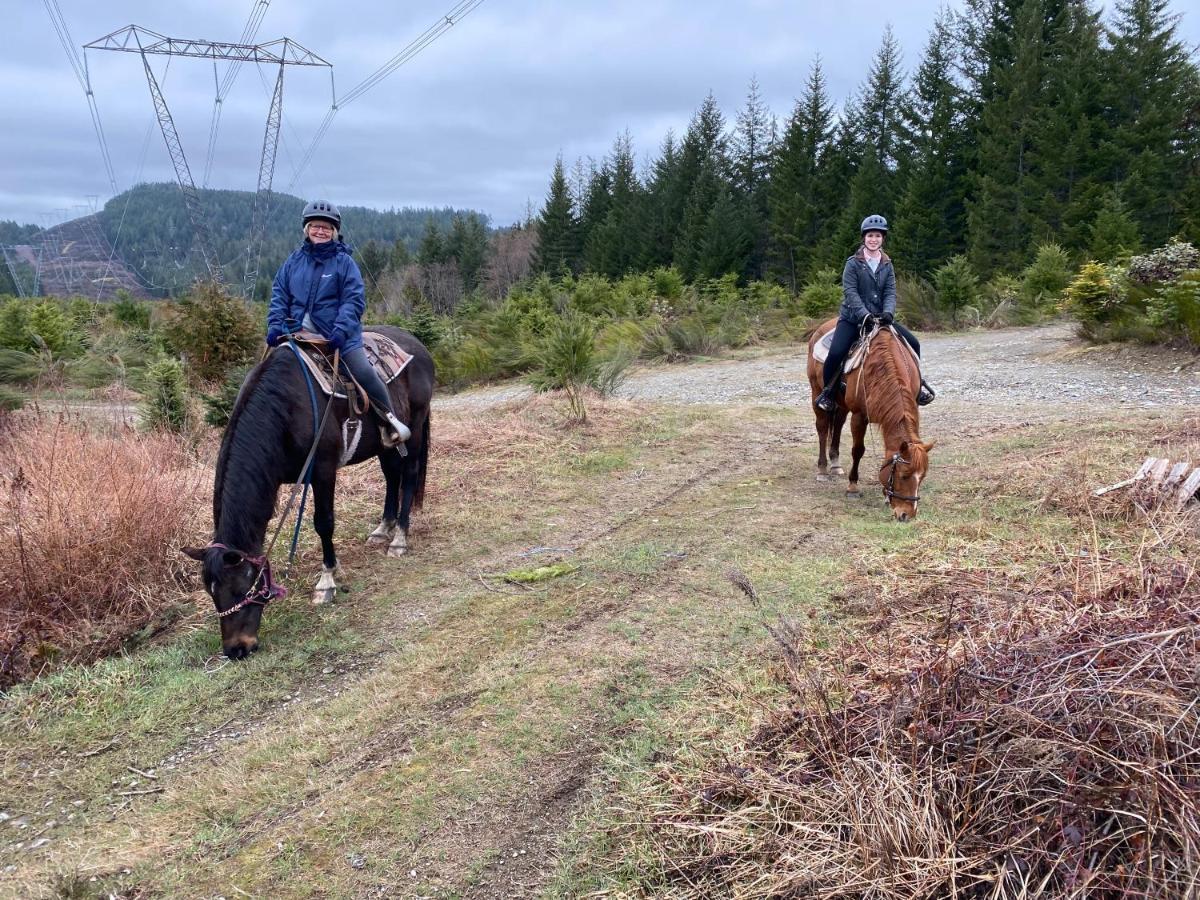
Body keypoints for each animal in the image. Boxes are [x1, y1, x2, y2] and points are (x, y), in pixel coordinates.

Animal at [183, 328, 436, 657]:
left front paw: (326, 581)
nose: (237, 649)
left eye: (240, 588)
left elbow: (323, 523)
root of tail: (417, 344)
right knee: (391, 476)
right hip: (384, 445)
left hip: (414, 427)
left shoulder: (323, 470)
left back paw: (400, 538)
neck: (285, 408)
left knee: (408, 477)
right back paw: (383, 528)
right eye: (211, 592)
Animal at [811, 319, 931, 520]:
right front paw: (852, 487)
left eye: (922, 477)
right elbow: (858, 450)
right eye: (903, 475)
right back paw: (822, 470)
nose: (906, 515)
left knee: (837, 424)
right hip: (816, 390)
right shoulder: (860, 415)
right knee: (822, 427)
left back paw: (835, 464)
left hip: (841, 404)